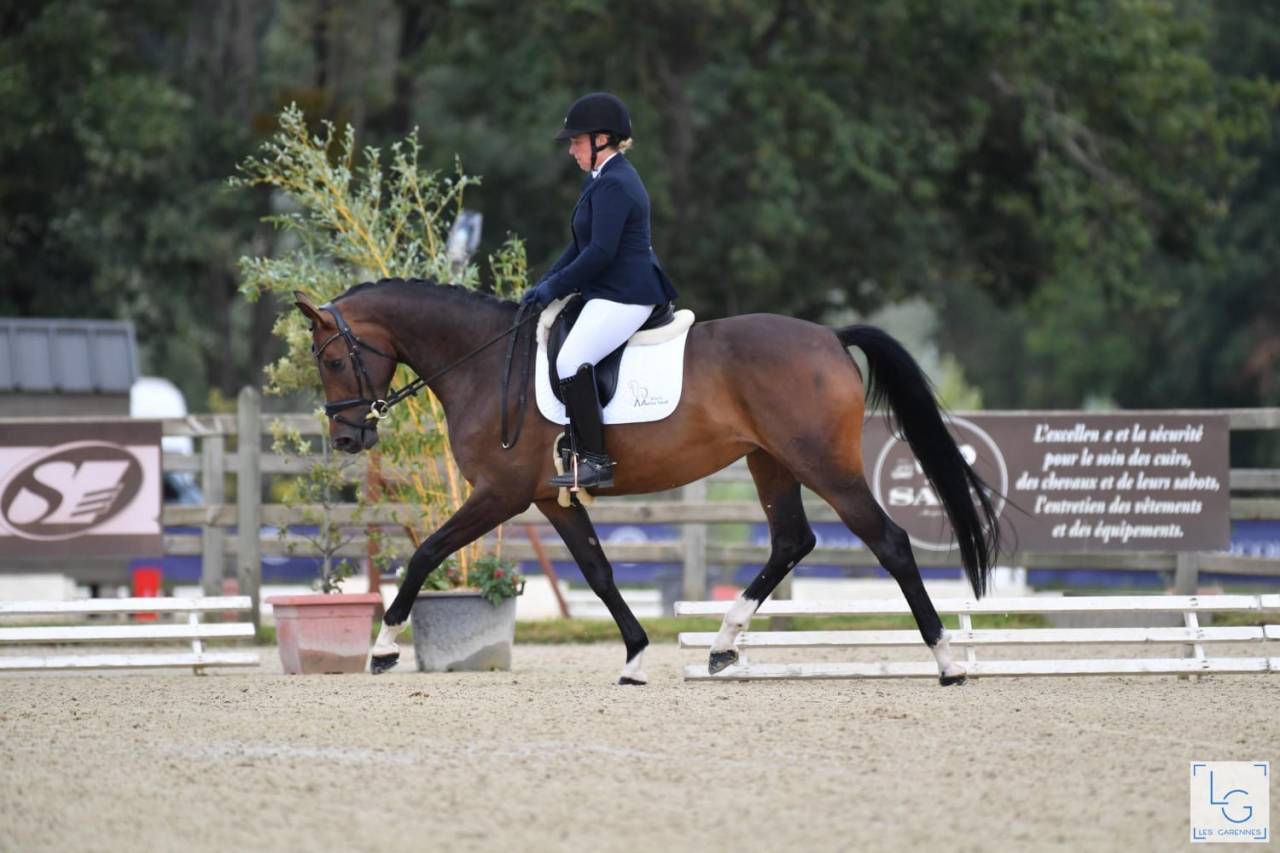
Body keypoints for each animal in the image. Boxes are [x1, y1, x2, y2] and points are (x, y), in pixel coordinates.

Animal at [294, 277, 1000, 685]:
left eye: (333, 361)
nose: (347, 439)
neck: (485, 363)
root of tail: (829, 336)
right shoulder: (552, 497)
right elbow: (599, 572)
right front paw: (635, 655)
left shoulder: (500, 494)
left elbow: (425, 554)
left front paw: (383, 649)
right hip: (770, 462)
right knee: (791, 542)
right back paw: (721, 645)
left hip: (822, 464)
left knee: (889, 542)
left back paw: (946, 662)